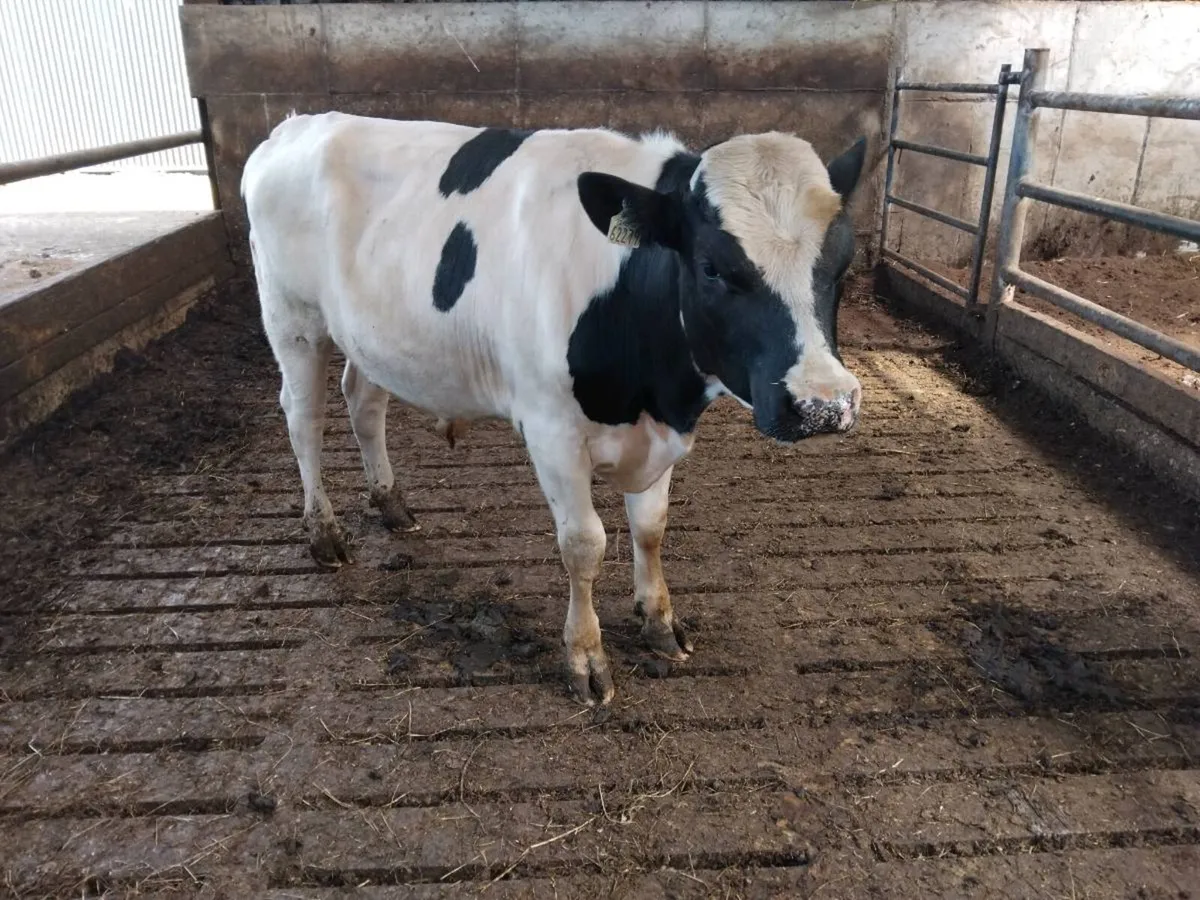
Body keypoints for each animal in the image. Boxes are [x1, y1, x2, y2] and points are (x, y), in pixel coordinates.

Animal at [241, 113, 866, 706]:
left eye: (842, 262)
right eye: (712, 267)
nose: (824, 406)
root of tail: (294, 126)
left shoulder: (660, 431)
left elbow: (651, 528)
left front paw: (659, 621)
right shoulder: (551, 431)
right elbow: (584, 545)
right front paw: (586, 658)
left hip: (372, 338)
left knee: (365, 404)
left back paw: (391, 503)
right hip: (292, 319)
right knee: (304, 418)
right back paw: (324, 533)